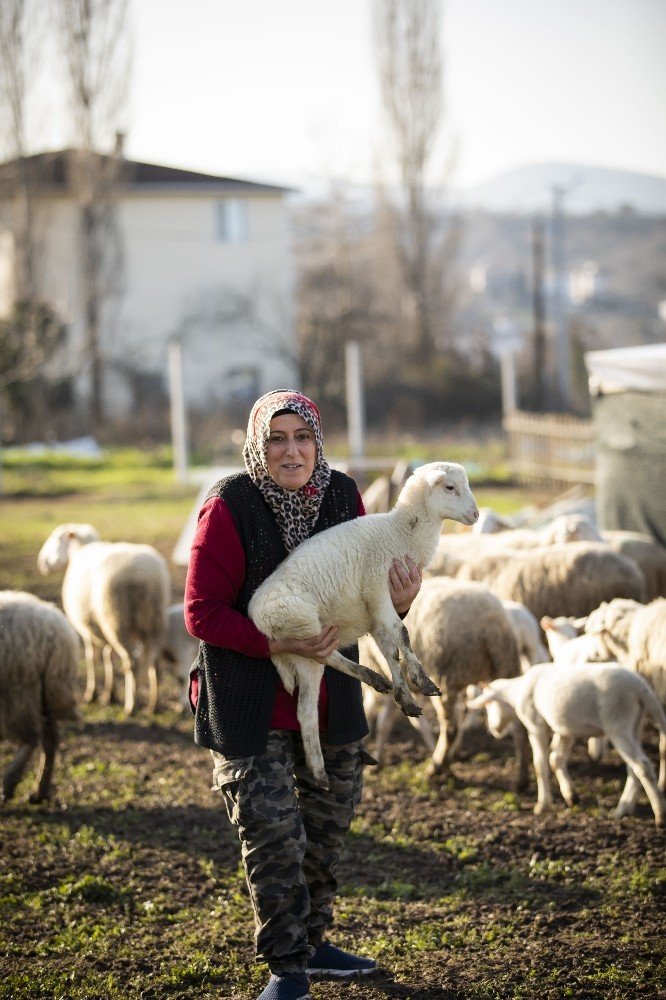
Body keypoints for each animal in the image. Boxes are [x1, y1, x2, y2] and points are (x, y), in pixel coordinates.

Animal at [0, 588, 80, 800]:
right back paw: (39, 791)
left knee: (30, 738)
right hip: (42, 694)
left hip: (18, 691)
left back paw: (10, 783)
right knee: (50, 739)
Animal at [36, 528, 171, 716]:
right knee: (155, 665)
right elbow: (108, 657)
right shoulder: (101, 628)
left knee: (132, 663)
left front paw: (91, 695)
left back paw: (131, 706)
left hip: (117, 620)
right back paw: (153, 706)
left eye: (57, 538)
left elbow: (91, 658)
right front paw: (110, 695)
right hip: (153, 624)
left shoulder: (87, 629)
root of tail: (147, 577)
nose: (42, 563)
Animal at [248, 460, 478, 788]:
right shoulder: (378, 588)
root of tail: (256, 617)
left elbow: (391, 649)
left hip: (301, 655)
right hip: (304, 630)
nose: (476, 515)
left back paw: (320, 771)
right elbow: (403, 635)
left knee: (306, 711)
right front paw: (423, 682)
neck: (398, 533)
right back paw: (369, 679)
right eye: (449, 487)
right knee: (326, 658)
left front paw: (405, 696)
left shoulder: (377, 609)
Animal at [464, 660, 664, 824]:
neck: (516, 692)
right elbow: (556, 759)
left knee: (642, 765)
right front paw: (571, 796)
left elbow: (540, 764)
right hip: (634, 725)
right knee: (634, 768)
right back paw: (623, 809)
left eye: (489, 706)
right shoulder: (565, 730)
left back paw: (659, 814)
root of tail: (641, 687)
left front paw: (542, 804)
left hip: (618, 723)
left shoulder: (535, 725)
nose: (493, 730)